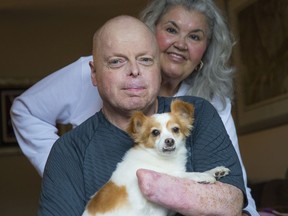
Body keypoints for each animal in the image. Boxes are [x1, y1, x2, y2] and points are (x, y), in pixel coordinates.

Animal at [82, 100, 230, 216]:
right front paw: (203, 176)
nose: (169, 141)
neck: (162, 158)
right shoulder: (162, 175)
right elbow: (185, 175)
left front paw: (216, 171)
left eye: (175, 129)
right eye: (155, 132)